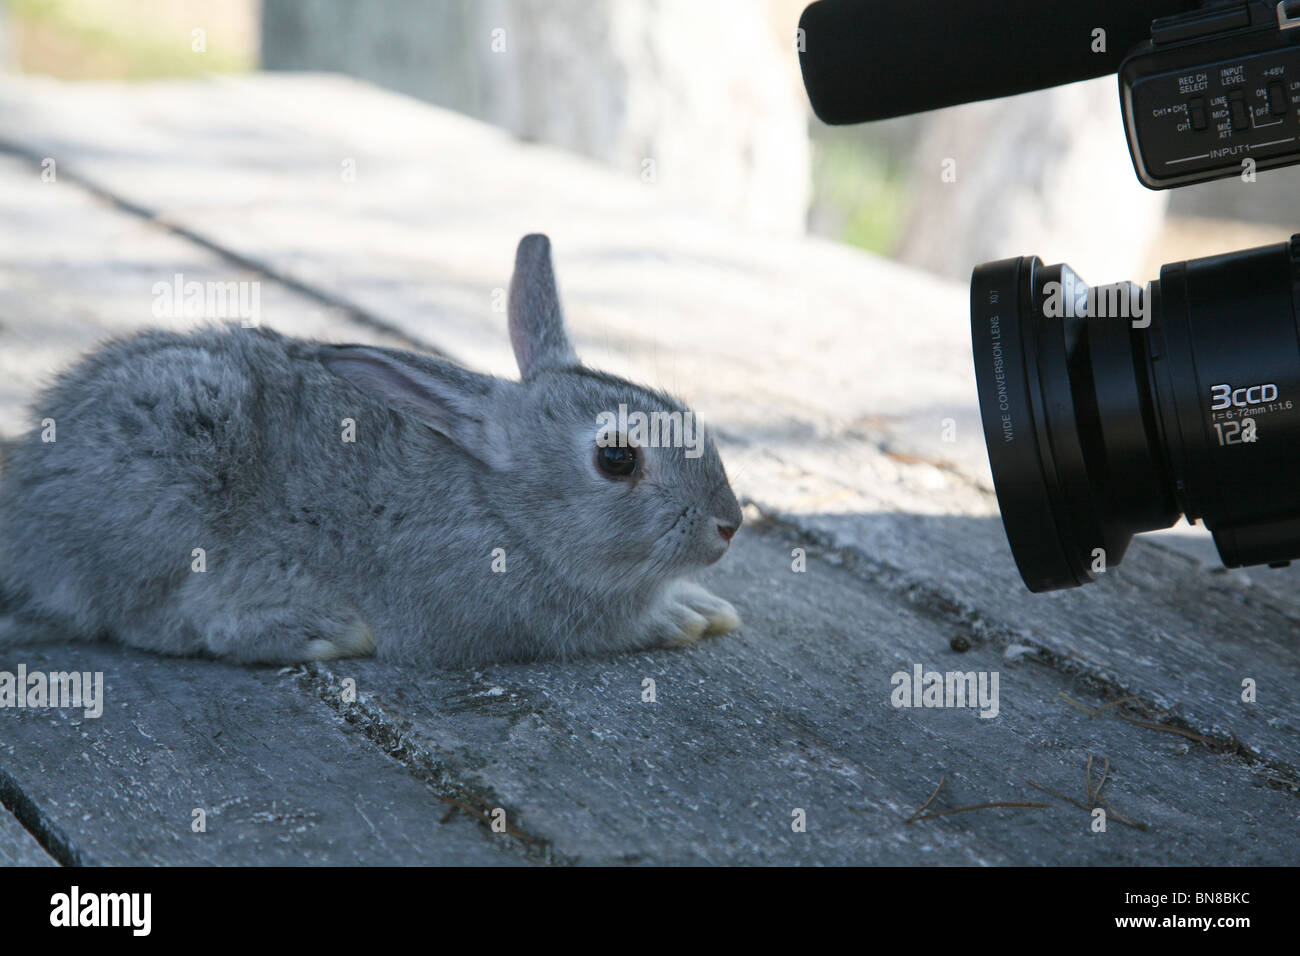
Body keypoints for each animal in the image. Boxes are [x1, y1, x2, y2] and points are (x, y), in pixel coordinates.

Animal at [0, 235, 744, 667]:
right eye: (617, 458)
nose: (730, 525)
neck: (505, 510)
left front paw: (705, 607)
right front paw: (683, 617)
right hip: (168, 493)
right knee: (153, 623)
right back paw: (318, 632)